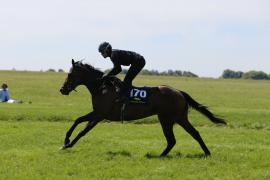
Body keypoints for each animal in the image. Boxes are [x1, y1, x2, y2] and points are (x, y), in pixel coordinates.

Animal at [59, 59, 226, 157]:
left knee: (182, 137)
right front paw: (67, 144)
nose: (62, 89)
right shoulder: (99, 115)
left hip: (171, 118)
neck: (102, 87)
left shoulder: (99, 114)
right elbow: (82, 130)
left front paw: (66, 141)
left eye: (70, 74)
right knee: (180, 138)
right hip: (172, 118)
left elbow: (78, 121)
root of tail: (179, 92)